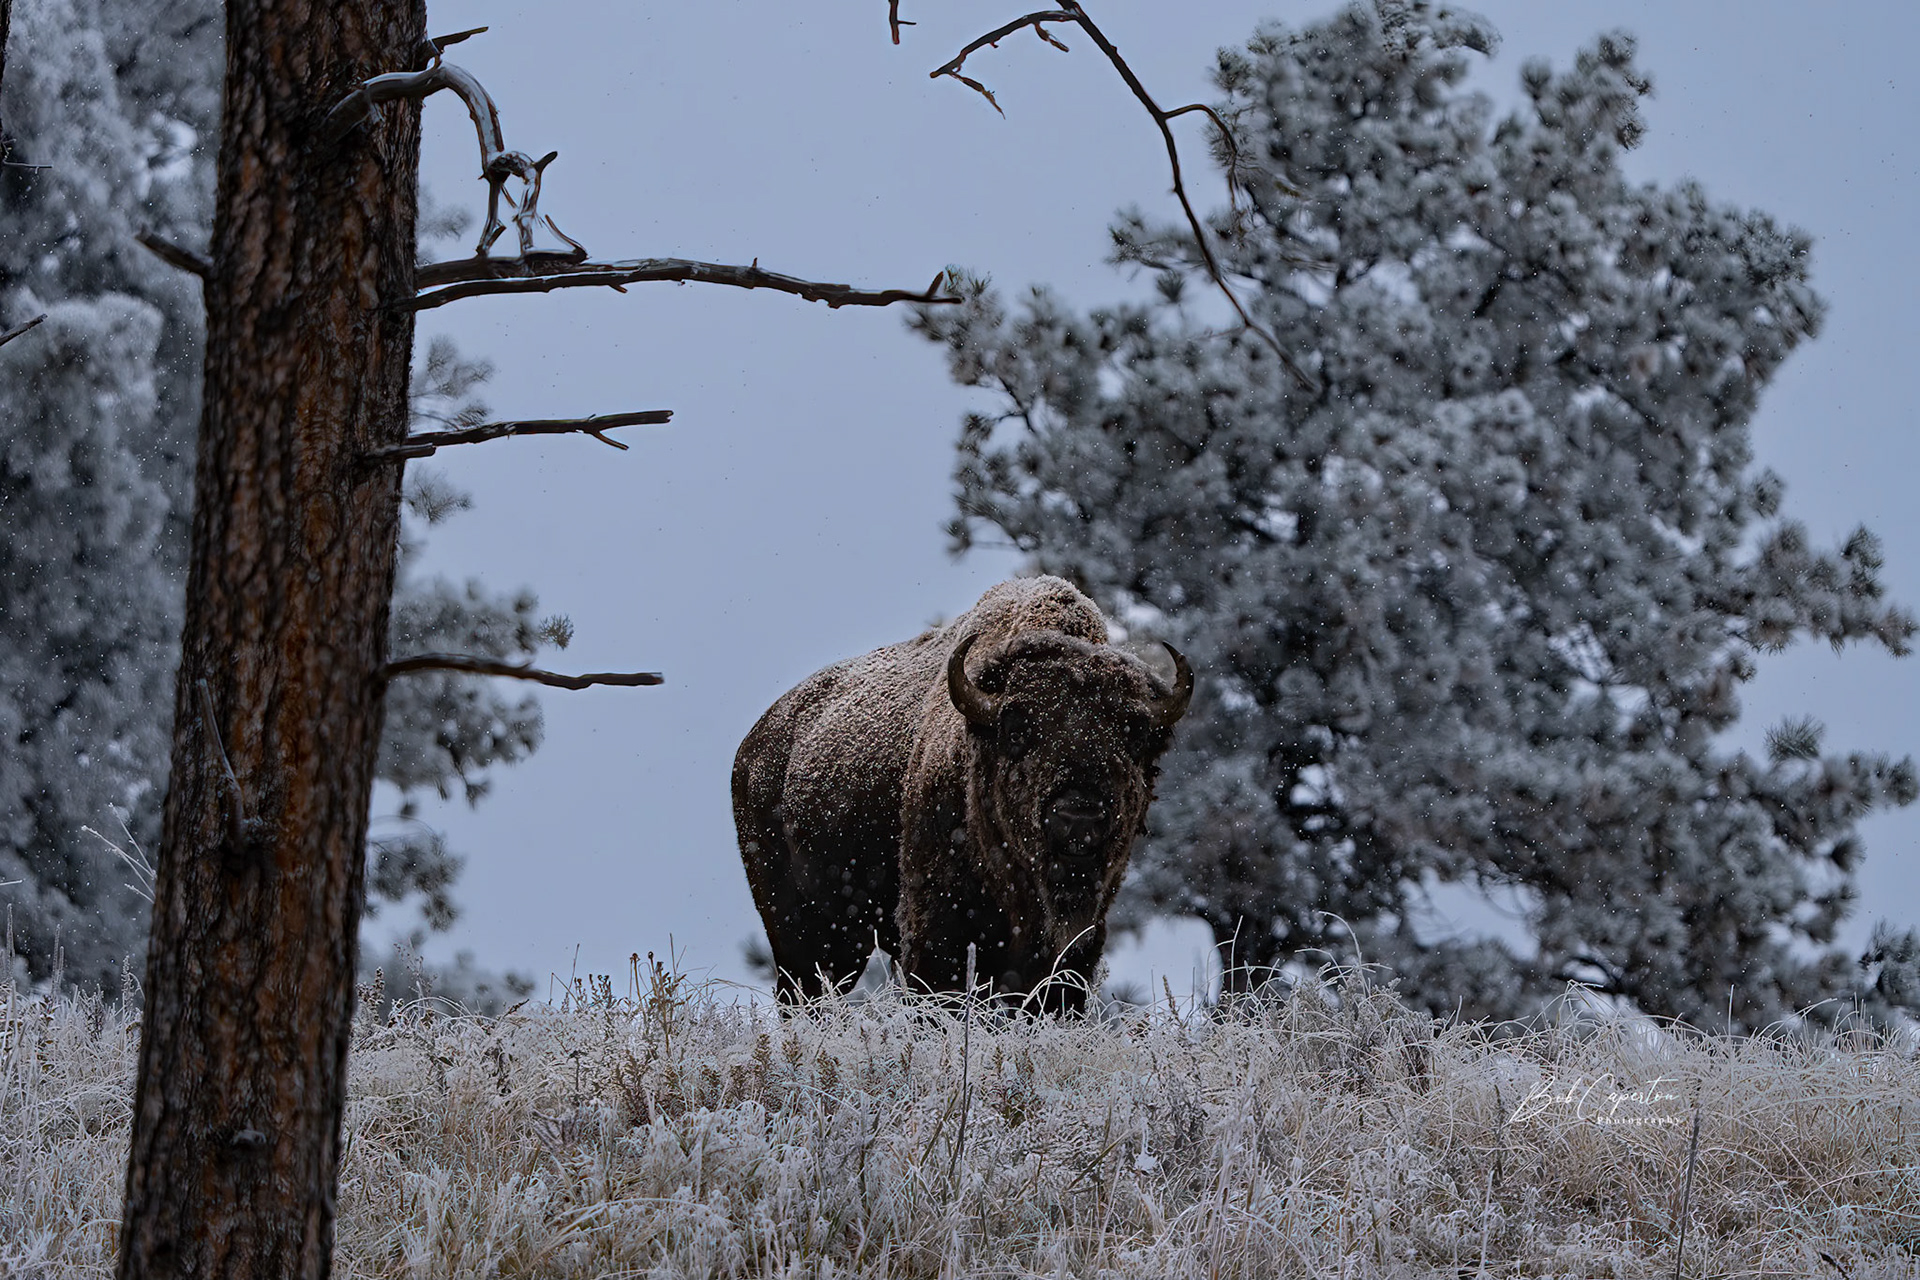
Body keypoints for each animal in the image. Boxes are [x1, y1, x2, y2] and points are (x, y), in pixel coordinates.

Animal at [733, 575, 1192, 1010]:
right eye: (1017, 730)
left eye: (1134, 737)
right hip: (807, 931)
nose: (1080, 816)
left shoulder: (1078, 943)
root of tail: (755, 744)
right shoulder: (937, 929)